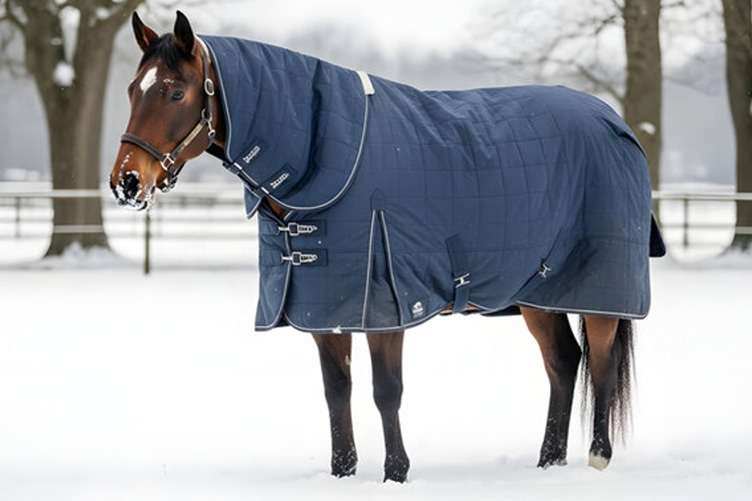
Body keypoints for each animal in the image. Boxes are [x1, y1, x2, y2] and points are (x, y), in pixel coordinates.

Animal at [109, 11, 664, 483]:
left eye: (176, 92)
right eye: (134, 91)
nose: (127, 182)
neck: (323, 161)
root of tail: (616, 124)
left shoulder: (384, 305)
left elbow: (385, 392)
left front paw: (395, 474)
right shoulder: (324, 309)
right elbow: (337, 391)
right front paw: (342, 473)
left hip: (598, 290)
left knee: (601, 361)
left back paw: (595, 460)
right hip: (537, 294)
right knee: (564, 363)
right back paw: (548, 463)